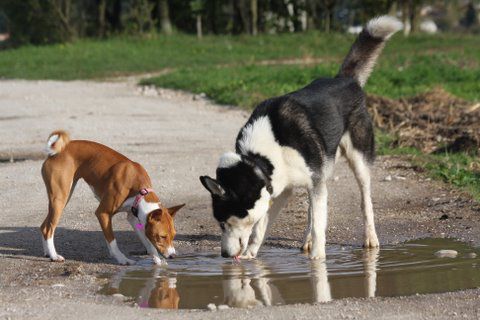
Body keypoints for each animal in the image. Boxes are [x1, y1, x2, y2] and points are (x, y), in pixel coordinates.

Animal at [39, 130, 184, 264]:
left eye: (174, 236)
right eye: (162, 236)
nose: (173, 256)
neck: (139, 190)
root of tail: (53, 153)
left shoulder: (133, 217)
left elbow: (149, 244)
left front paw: (158, 263)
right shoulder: (103, 213)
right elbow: (113, 242)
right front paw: (122, 259)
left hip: (62, 198)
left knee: (44, 226)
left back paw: (47, 253)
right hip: (60, 198)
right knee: (49, 228)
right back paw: (54, 256)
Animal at [201, 15, 404, 260]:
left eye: (223, 222)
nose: (224, 255)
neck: (265, 156)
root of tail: (344, 80)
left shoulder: (310, 183)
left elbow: (317, 224)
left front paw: (318, 258)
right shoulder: (280, 189)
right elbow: (262, 228)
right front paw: (251, 254)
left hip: (358, 161)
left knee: (365, 202)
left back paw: (370, 238)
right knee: (312, 212)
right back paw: (307, 240)